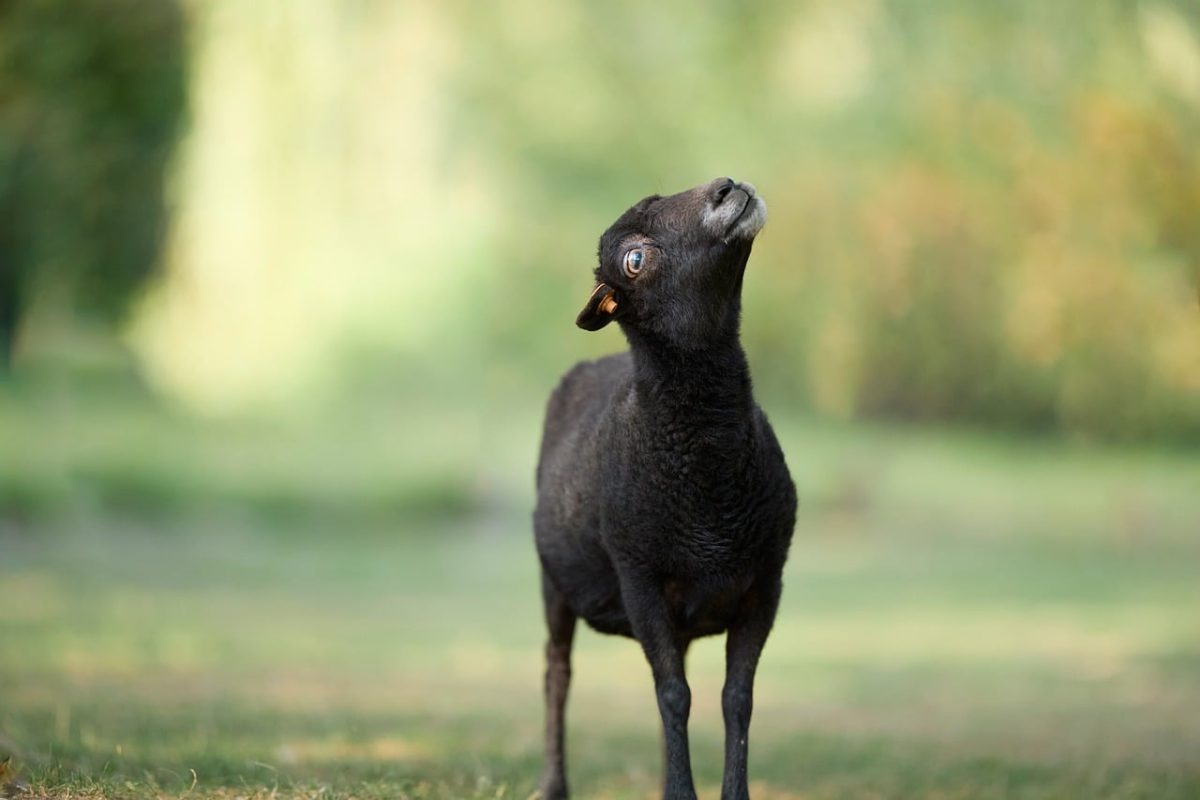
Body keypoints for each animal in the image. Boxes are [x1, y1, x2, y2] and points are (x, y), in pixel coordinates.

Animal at [533, 177, 797, 800]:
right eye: (634, 259)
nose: (727, 187)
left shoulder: (765, 582)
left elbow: (735, 700)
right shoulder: (640, 578)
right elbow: (675, 695)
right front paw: (681, 791)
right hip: (554, 583)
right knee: (558, 673)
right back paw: (553, 783)